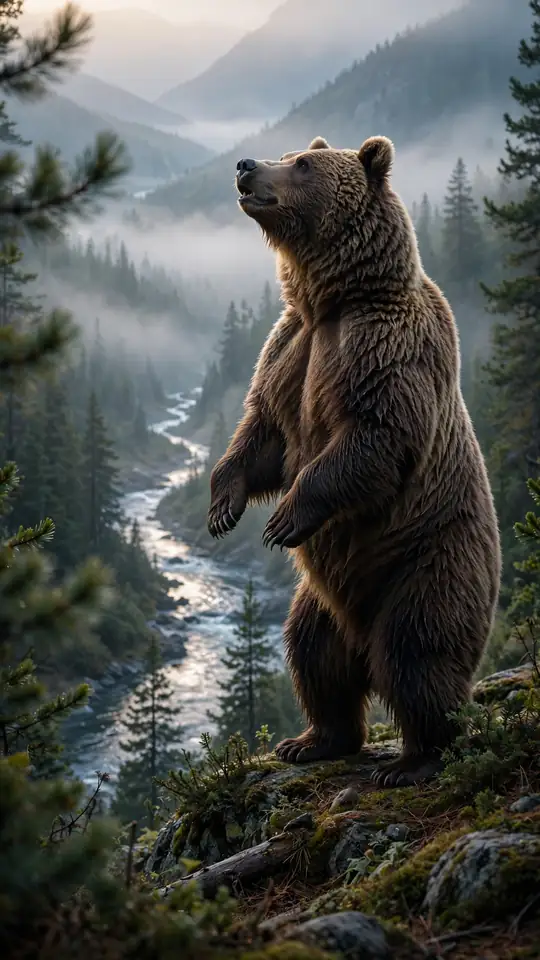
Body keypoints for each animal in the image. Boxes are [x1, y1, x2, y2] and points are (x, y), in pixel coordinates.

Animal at [207, 133, 501, 787]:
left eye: (302, 164)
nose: (245, 164)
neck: (333, 300)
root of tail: (361, 628)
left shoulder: (383, 348)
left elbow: (374, 438)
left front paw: (283, 519)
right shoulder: (290, 347)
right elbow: (261, 436)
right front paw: (222, 506)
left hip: (425, 561)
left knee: (418, 653)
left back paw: (415, 758)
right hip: (324, 600)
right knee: (315, 655)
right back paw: (312, 739)